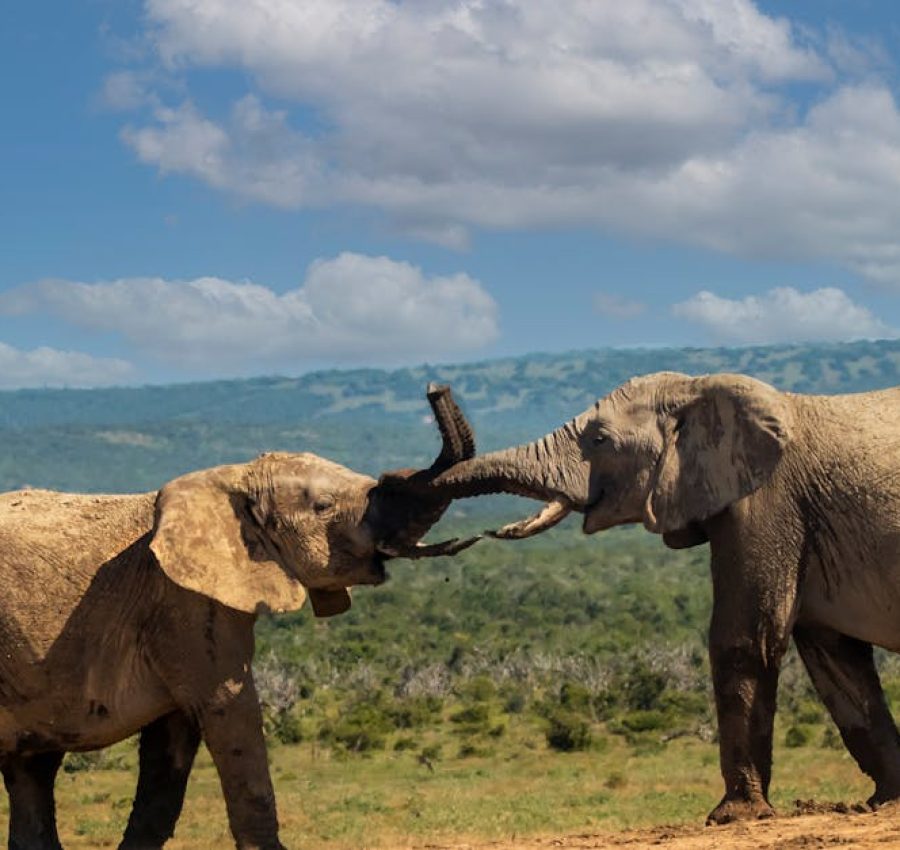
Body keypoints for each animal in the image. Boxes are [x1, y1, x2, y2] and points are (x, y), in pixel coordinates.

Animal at [0, 384, 479, 850]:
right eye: (324, 506)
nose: (436, 389)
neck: (233, 476)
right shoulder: (182, 603)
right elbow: (229, 709)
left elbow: (170, 748)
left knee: (31, 770)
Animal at [424, 371, 900, 824]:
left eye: (599, 440)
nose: (436, 389)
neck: (698, 388)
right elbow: (835, 659)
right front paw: (887, 801)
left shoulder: (765, 502)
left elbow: (746, 638)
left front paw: (732, 817)